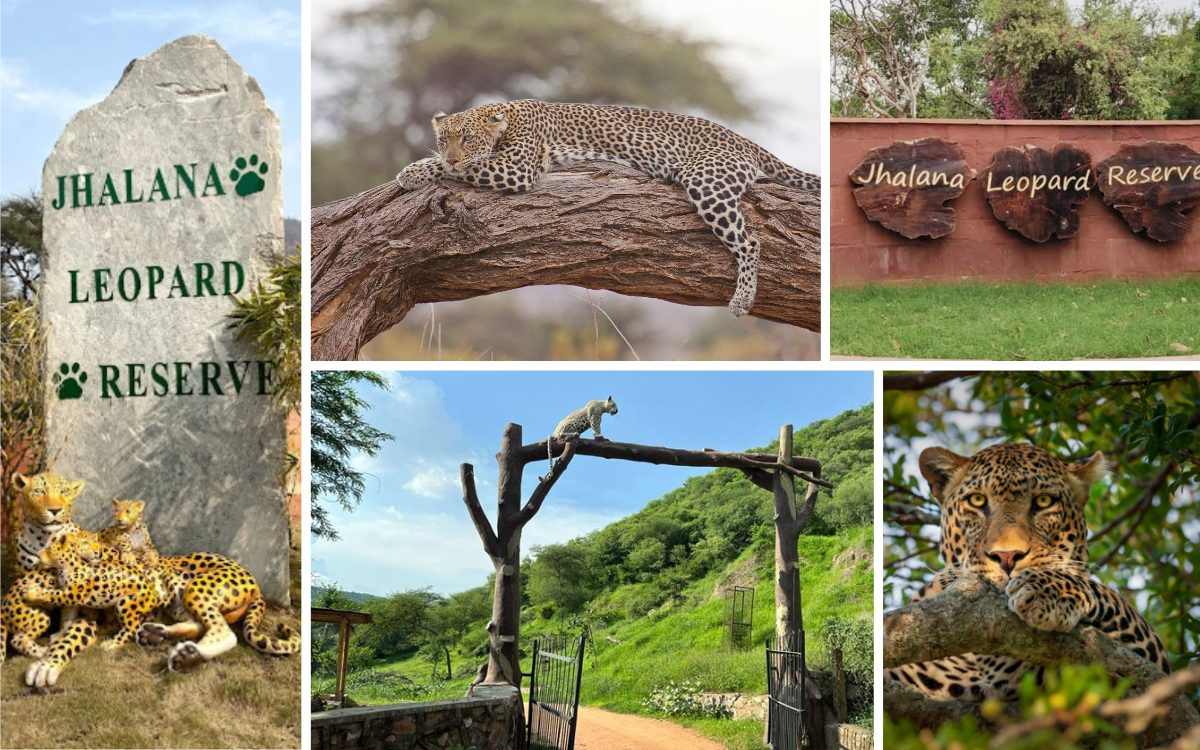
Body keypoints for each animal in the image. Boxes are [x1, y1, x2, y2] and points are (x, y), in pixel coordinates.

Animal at [135, 551, 301, 672]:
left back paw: (188, 656)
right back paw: (157, 634)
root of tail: (258, 590)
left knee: (223, 631)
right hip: (181, 606)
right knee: (202, 624)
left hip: (195, 588)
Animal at [395, 100, 821, 317]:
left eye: (466, 139)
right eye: (444, 138)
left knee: (750, 243)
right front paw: (422, 166)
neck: (505, 118)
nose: (451, 155)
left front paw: (414, 171)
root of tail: (745, 141)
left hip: (706, 182)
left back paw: (742, 299)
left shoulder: (515, 169)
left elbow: (465, 168)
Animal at [886, 443, 1170, 703]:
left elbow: (1108, 595)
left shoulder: (1152, 664)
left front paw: (1046, 592)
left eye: (1044, 501)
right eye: (977, 500)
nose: (1007, 556)